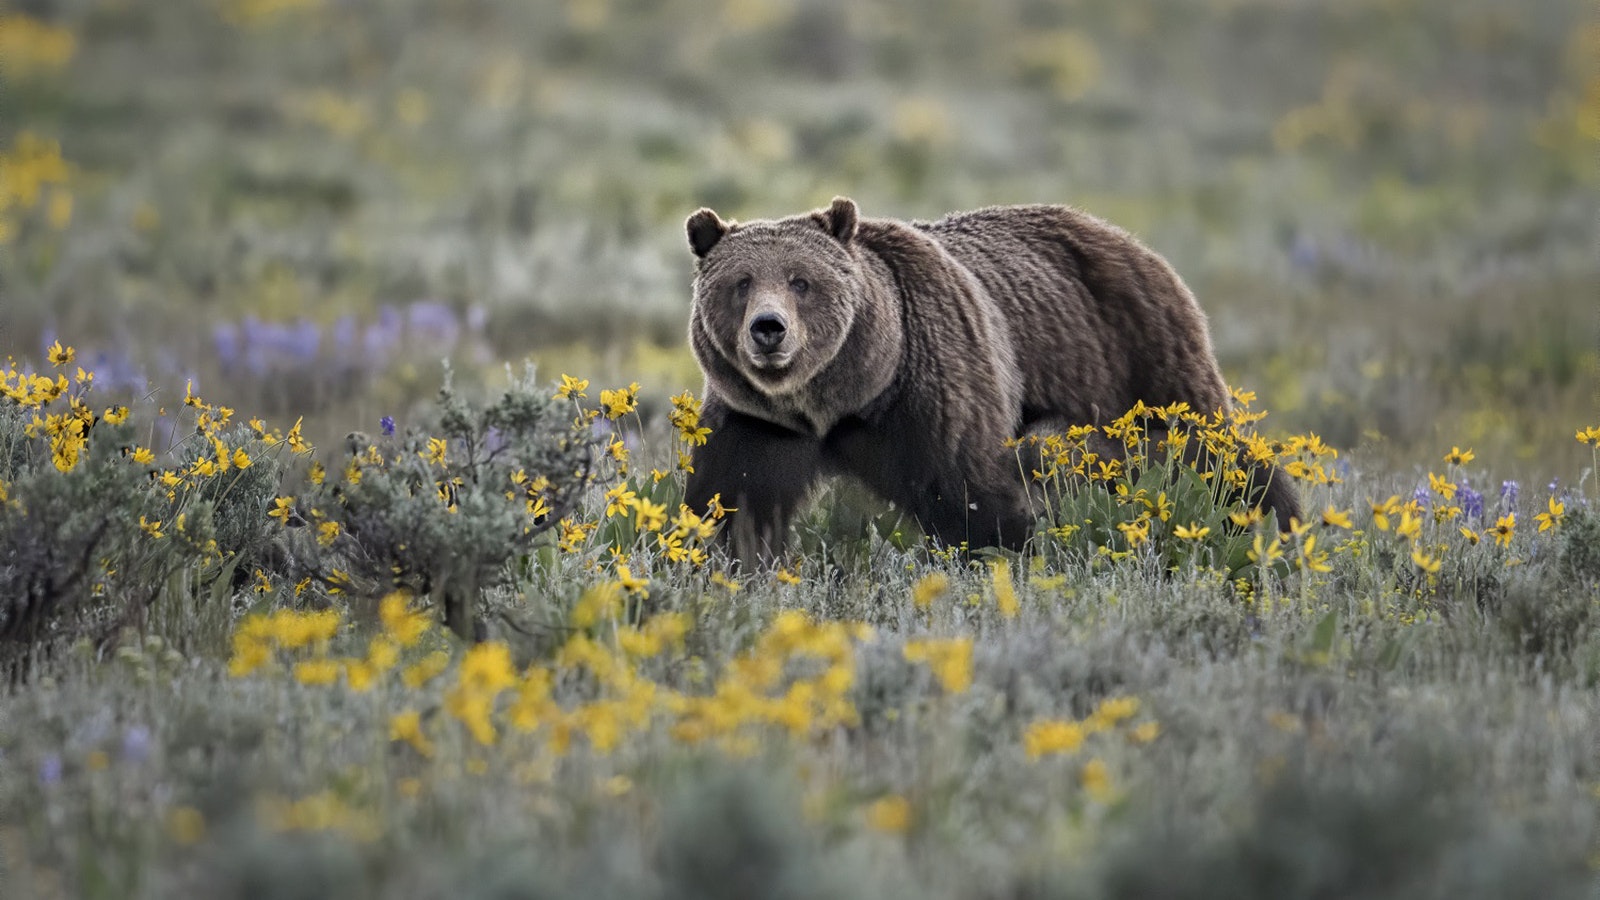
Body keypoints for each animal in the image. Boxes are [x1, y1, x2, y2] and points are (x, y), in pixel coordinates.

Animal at [682, 197, 1300, 565]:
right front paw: (723, 557)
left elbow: (974, 495)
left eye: (800, 280)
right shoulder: (759, 424)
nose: (769, 328)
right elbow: (733, 502)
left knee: (1213, 452)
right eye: (741, 282)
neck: (842, 402)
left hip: (1138, 360)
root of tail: (1126, 237)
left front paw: (1005, 556)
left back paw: (1272, 517)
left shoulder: (934, 393)